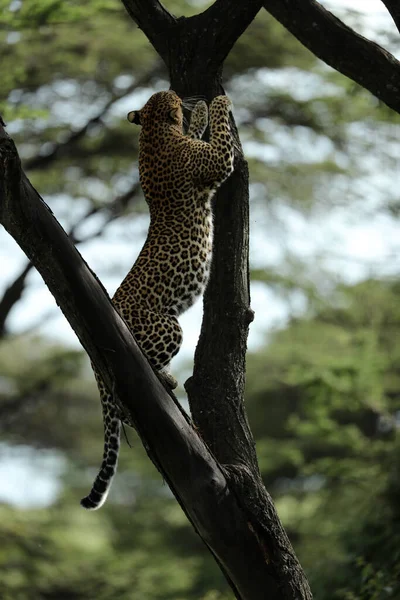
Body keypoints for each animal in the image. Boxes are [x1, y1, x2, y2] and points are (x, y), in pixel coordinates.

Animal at [81, 90, 234, 510]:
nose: (187, 96)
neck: (151, 133)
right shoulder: (215, 160)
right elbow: (219, 135)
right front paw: (216, 100)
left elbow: (197, 130)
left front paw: (200, 111)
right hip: (167, 325)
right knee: (130, 386)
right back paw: (163, 379)